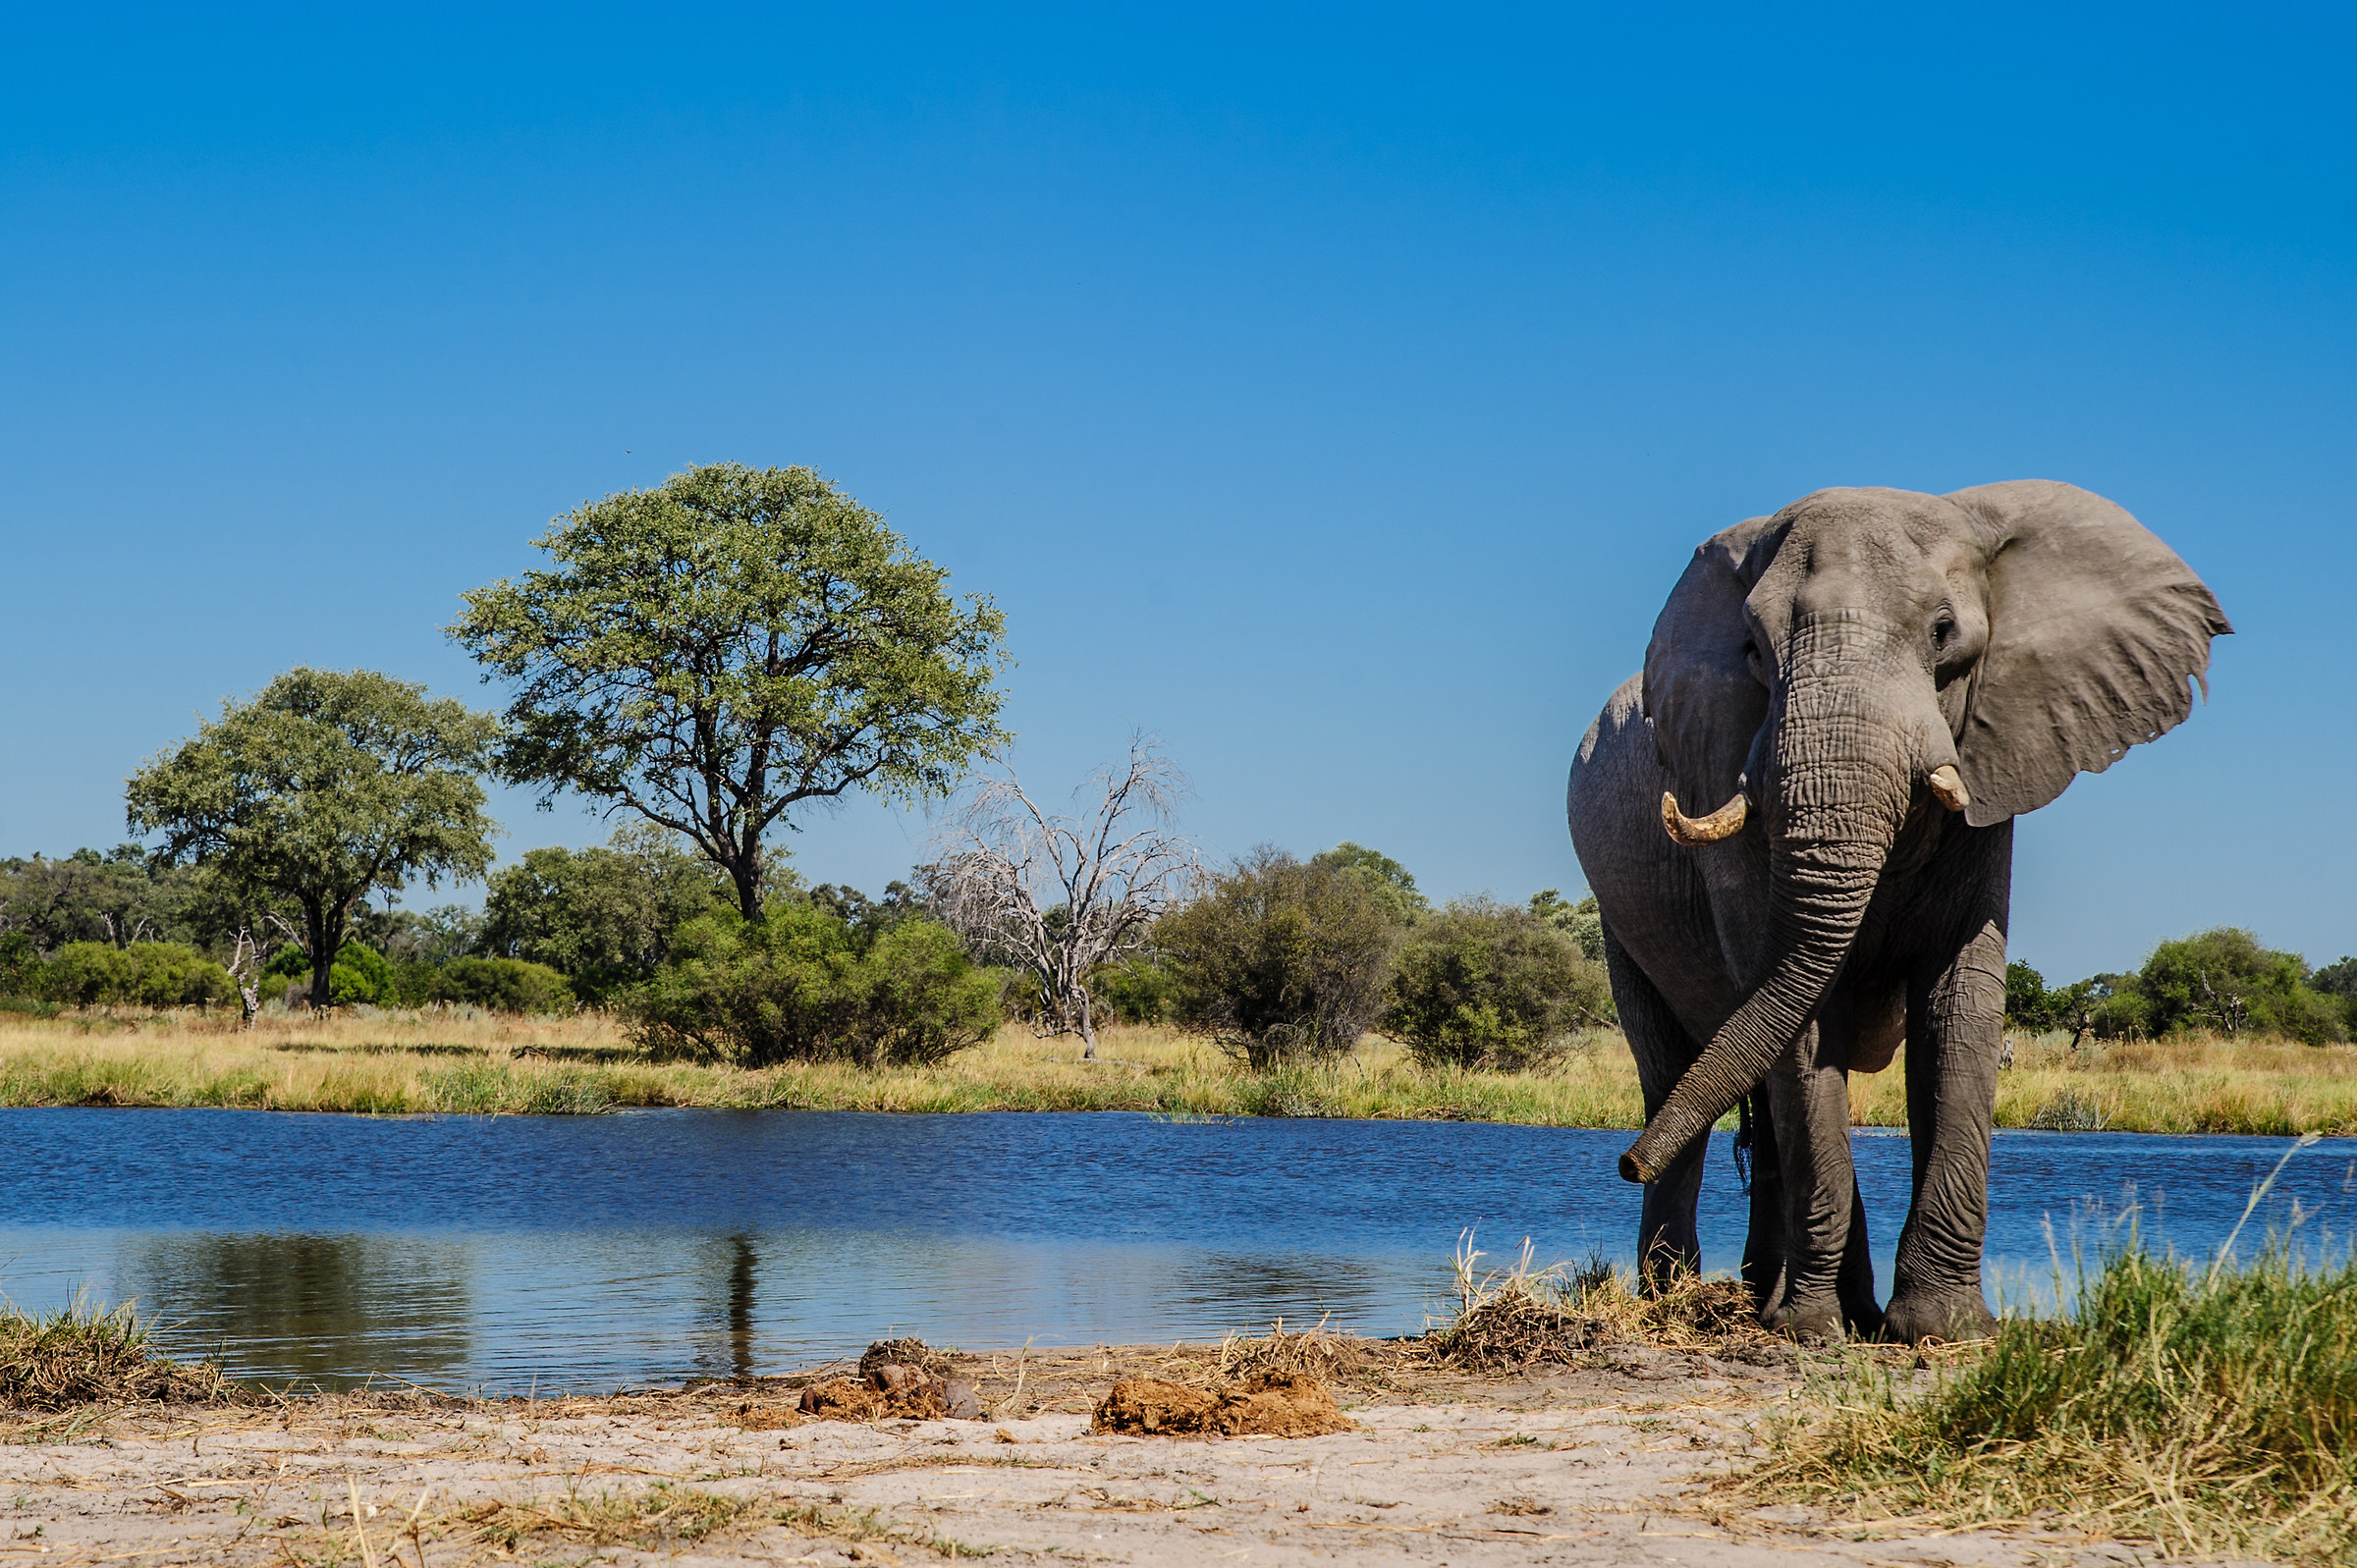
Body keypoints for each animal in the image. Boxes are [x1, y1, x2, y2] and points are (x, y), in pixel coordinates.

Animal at [1565, 481, 2228, 1344]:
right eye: (1753, 648)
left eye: (1944, 634)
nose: (1623, 1159)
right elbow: (1804, 1023)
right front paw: (1817, 1329)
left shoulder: (1992, 768)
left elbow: (1958, 1010)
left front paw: (1942, 1329)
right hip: (1621, 921)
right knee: (1674, 1067)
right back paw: (1681, 1294)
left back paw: (1755, 1287)